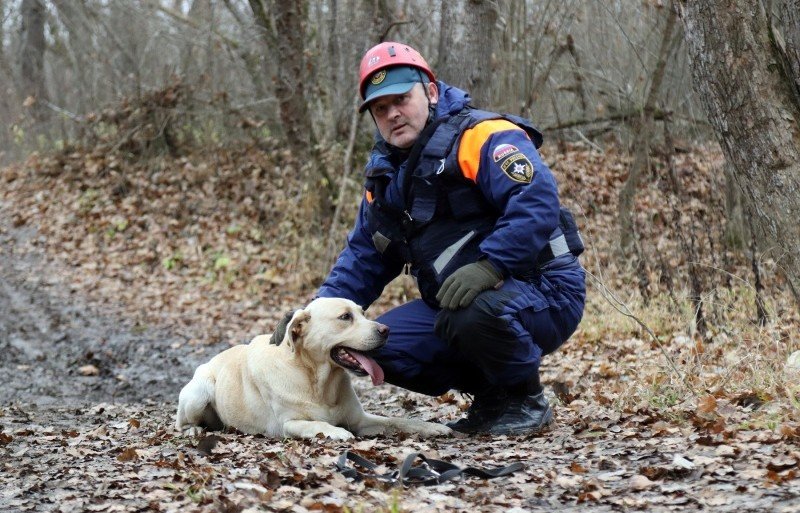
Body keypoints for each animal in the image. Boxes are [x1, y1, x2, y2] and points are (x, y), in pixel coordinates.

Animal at [175, 298, 450, 438]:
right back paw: (194, 430)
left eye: (363, 312)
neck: (317, 380)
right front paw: (337, 432)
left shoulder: (360, 420)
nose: (386, 330)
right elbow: (317, 424)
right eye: (345, 317)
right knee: (181, 423)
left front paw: (431, 427)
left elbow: (398, 421)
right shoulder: (288, 424)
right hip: (199, 393)